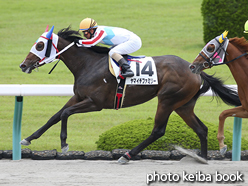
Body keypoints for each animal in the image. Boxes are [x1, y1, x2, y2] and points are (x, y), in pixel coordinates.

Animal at [19, 26, 240, 163]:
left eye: (39, 45)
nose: (23, 65)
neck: (88, 64)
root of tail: (195, 69)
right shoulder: (79, 97)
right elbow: (55, 116)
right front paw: (28, 138)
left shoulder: (95, 103)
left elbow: (65, 114)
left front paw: (64, 144)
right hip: (183, 105)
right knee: (201, 129)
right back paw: (202, 159)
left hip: (168, 100)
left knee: (158, 131)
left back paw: (126, 155)